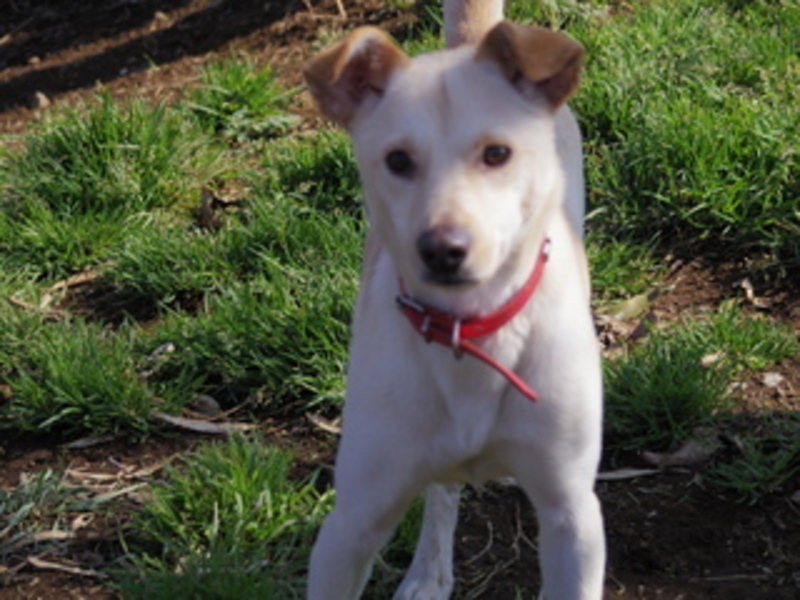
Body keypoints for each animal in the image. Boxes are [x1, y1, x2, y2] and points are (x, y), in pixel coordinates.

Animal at [303, 0, 605, 597]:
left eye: (497, 153)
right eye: (397, 161)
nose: (442, 249)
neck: (473, 328)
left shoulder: (573, 518)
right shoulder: (348, 528)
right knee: (441, 491)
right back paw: (428, 572)